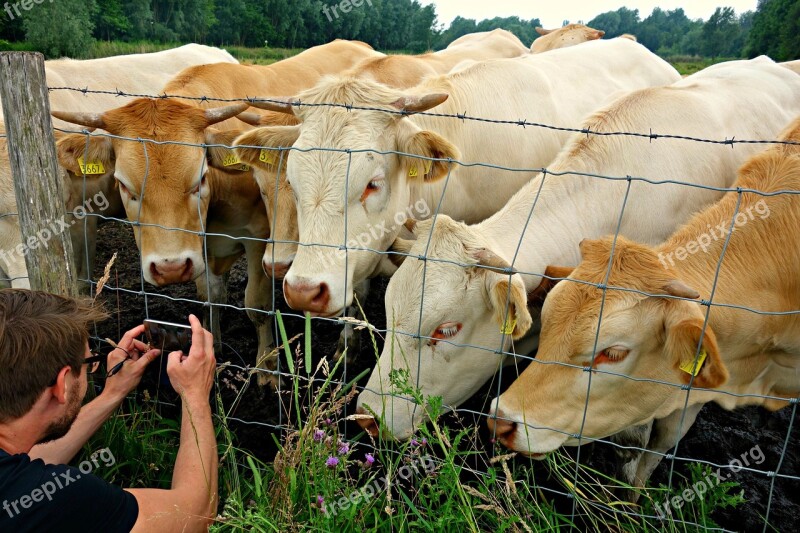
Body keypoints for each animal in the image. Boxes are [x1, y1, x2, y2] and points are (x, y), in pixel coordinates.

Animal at [50, 38, 382, 386]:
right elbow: (210, 295)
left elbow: (256, 305)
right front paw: (213, 344)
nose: (169, 268)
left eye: (200, 179)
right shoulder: (200, 245)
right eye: (123, 185)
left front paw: (267, 367)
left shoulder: (259, 238)